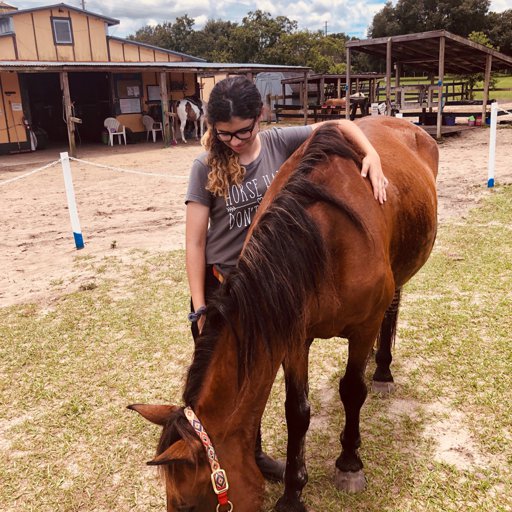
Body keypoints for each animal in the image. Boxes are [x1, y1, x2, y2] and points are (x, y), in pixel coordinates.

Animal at [130, 117, 438, 512]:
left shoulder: (361, 326)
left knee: (391, 312)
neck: (321, 241)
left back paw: (382, 370)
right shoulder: (293, 336)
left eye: (188, 505)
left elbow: (352, 391)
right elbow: (297, 411)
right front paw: (292, 492)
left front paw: (349, 463)